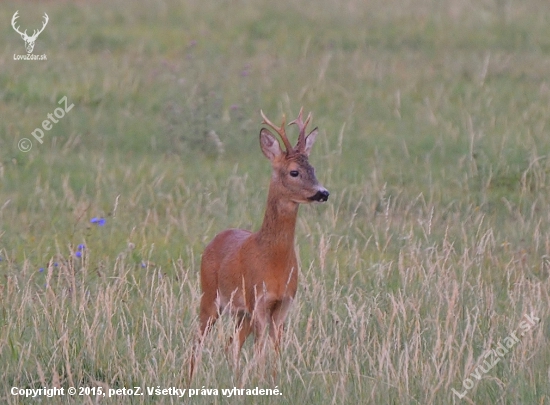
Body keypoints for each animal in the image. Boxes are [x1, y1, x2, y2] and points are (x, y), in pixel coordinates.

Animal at [191, 107, 328, 378]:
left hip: (240, 312)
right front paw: (260, 378)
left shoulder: (283, 303)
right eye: (294, 171)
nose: (323, 193)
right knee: (197, 341)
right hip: (210, 295)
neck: (273, 261)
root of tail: (215, 239)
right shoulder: (259, 301)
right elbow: (260, 351)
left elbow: (275, 350)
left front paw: (274, 378)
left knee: (231, 344)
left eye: (313, 168)